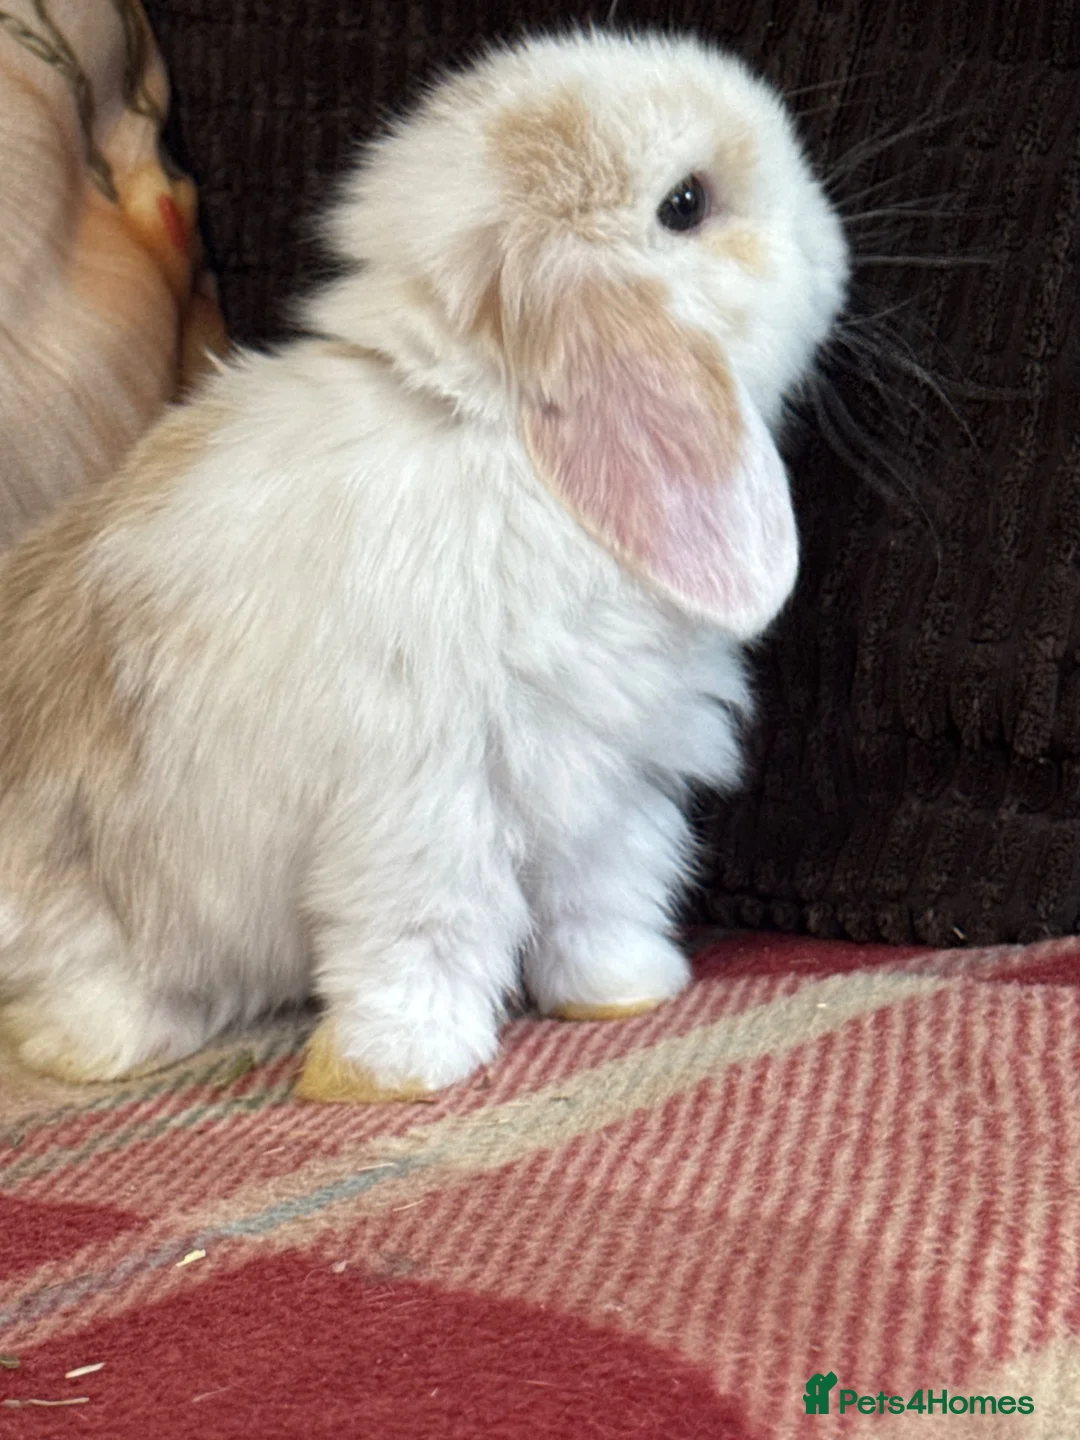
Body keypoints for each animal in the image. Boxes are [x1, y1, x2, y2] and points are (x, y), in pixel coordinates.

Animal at [0, 28, 848, 1102]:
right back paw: (104, 1048)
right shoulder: (421, 806)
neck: (503, 444)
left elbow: (604, 899)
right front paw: (394, 1070)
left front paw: (627, 995)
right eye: (685, 203)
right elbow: (425, 936)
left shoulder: (607, 790)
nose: (832, 245)